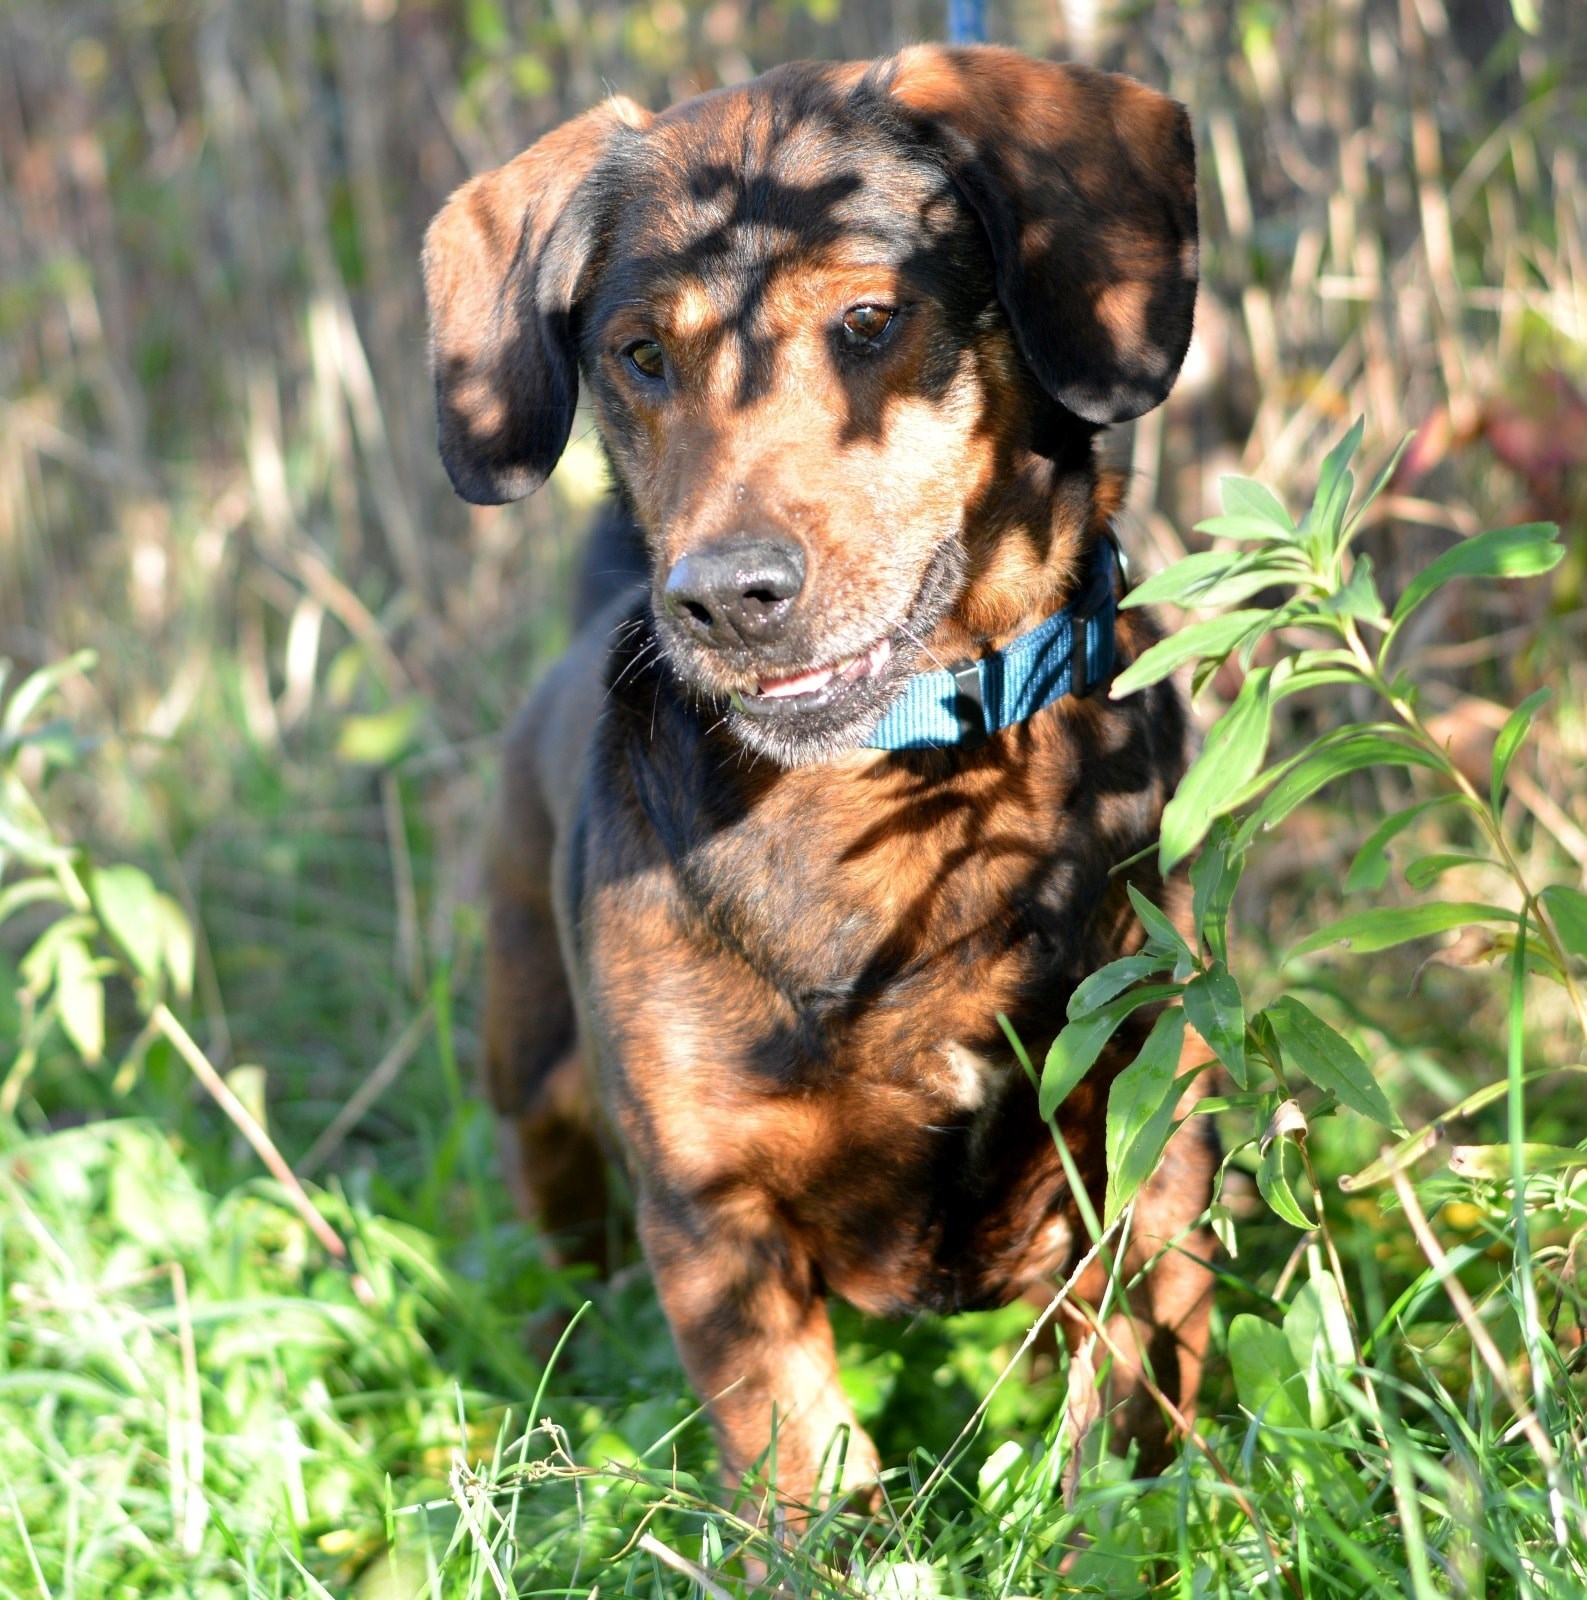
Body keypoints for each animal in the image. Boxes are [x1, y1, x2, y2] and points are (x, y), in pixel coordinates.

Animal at [422, 43, 1215, 1516]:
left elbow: (1132, 1395)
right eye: (637, 354)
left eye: (866, 318)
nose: (722, 599)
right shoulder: (713, 1213)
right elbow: (799, 1458)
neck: (887, 775)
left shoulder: (1151, 1131)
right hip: (534, 1082)